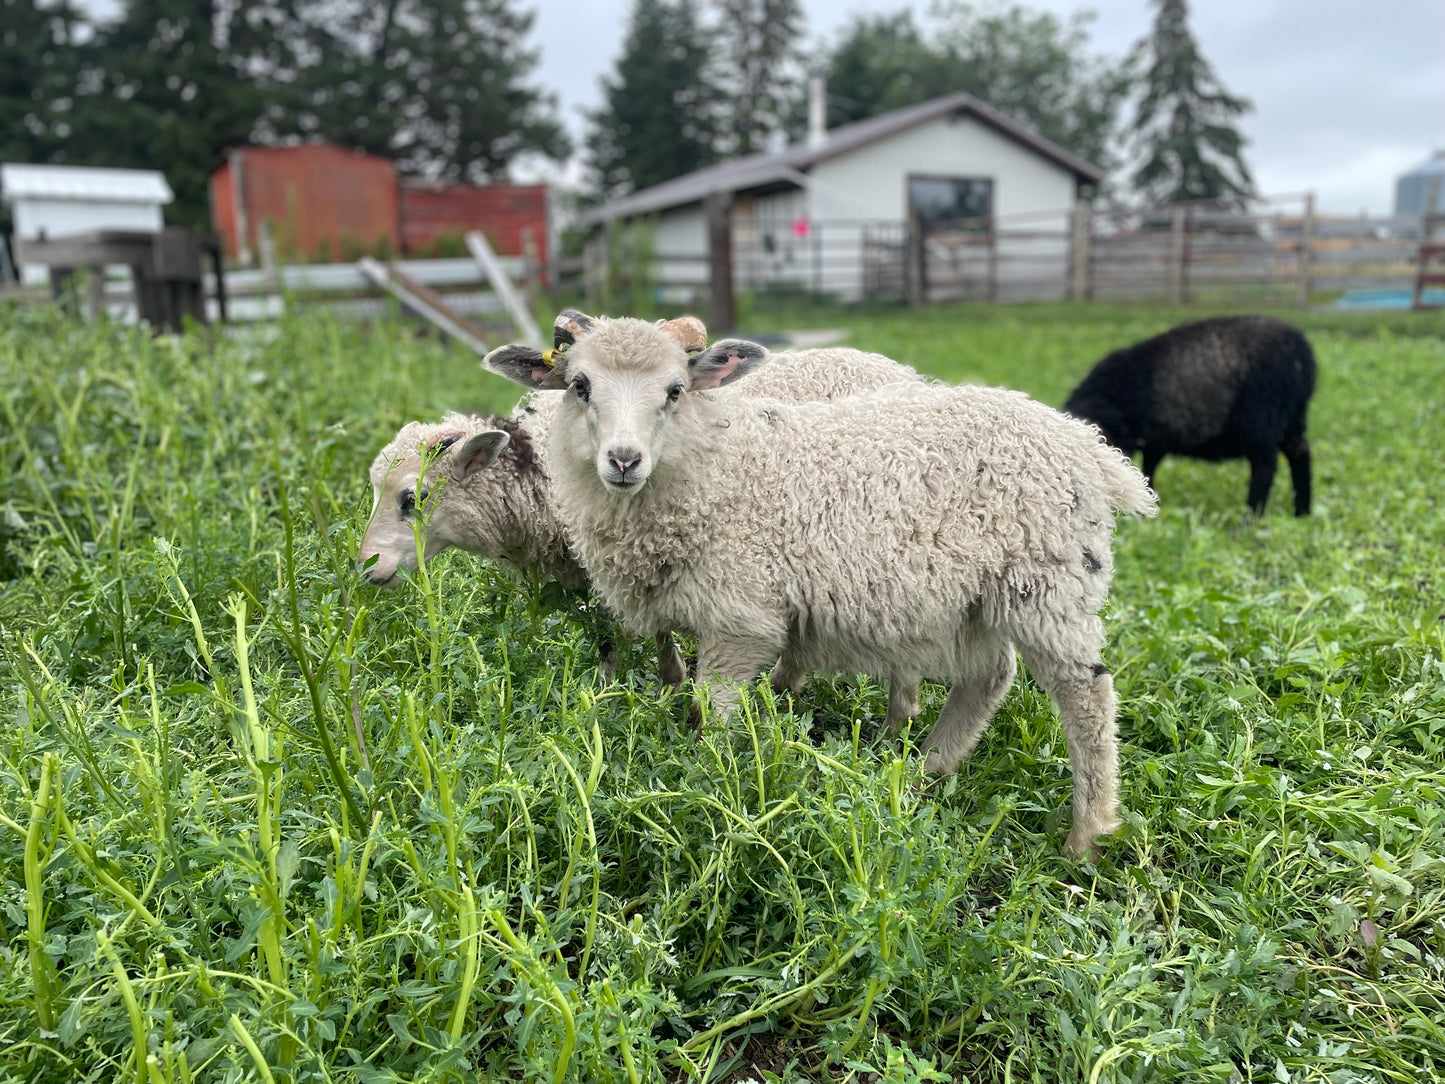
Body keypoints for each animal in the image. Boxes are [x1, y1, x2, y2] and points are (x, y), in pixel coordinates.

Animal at [357, 314, 922, 690]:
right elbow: (632, 631)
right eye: (578, 384)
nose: (367, 567)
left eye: (413, 498)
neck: (539, 467)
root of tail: (904, 372)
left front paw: (651, 683)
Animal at [482, 317, 1157, 857]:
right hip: (978, 599)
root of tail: (1089, 447)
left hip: (1051, 582)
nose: (623, 460)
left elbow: (714, 717)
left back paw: (1085, 836)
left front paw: (710, 793)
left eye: (675, 390)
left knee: (1086, 698)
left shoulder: (740, 619)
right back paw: (924, 773)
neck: (713, 465)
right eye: (580, 386)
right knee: (989, 678)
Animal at [1063, 315, 1316, 515]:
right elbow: (1148, 469)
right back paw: (1302, 511)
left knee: (1265, 464)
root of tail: (1302, 357)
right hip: (1293, 418)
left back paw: (1251, 517)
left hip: (1260, 416)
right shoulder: (1155, 438)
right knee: (1301, 454)